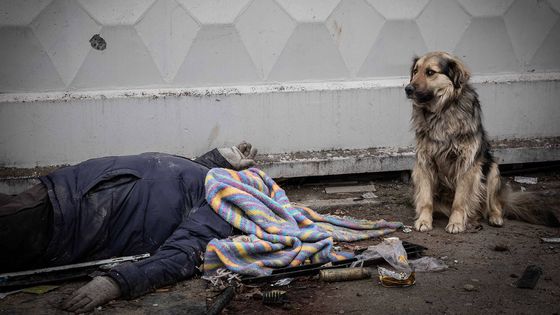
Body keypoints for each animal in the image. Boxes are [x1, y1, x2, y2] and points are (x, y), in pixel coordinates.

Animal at [404, 52, 556, 235]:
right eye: (415, 71)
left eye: (430, 72)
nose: (408, 89)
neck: (442, 111)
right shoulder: (424, 163)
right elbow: (426, 199)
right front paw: (424, 220)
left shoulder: (467, 164)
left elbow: (459, 201)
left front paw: (456, 223)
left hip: (492, 170)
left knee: (495, 203)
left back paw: (494, 217)